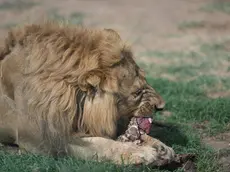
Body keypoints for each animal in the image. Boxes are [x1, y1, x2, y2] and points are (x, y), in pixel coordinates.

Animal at [0, 20, 174, 166]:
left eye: (146, 81)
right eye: (137, 92)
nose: (161, 106)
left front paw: (160, 147)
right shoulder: (44, 140)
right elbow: (101, 144)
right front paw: (142, 153)